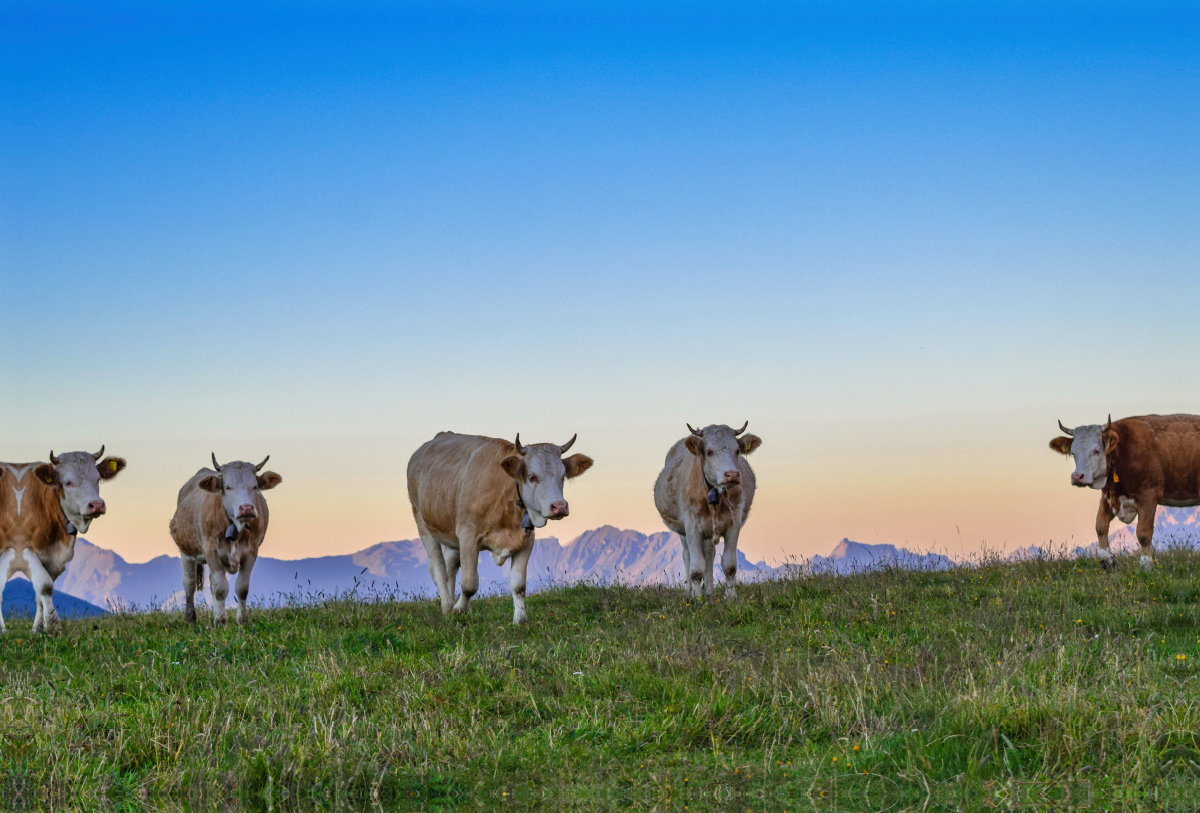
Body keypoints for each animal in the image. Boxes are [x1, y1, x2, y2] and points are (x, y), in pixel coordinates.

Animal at [0, 448, 126, 633]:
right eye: (68, 482)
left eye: (97, 479)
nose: (96, 505)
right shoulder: (21, 549)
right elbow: (45, 586)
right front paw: (53, 626)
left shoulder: (52, 557)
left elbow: (40, 593)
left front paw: (38, 629)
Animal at [169, 455, 283, 628]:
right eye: (228, 487)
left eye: (255, 486)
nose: (246, 508)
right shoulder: (211, 551)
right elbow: (220, 588)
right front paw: (221, 621)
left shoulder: (251, 552)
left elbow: (241, 587)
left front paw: (242, 620)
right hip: (186, 551)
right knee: (189, 583)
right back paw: (190, 618)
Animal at [408, 434, 595, 623]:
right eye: (532, 476)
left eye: (563, 476)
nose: (559, 506)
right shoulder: (468, 535)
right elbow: (469, 583)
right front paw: (459, 609)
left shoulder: (526, 540)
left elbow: (518, 584)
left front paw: (520, 618)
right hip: (422, 523)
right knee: (438, 567)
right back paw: (447, 606)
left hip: (451, 535)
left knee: (450, 565)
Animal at [657, 424, 758, 601]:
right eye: (709, 452)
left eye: (737, 450)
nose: (732, 474)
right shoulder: (691, 525)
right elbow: (697, 567)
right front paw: (697, 599)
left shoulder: (734, 523)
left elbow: (729, 564)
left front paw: (730, 597)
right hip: (683, 531)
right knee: (687, 555)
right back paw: (690, 592)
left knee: (709, 554)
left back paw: (709, 591)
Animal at [1046, 417, 1200, 570]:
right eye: (1073, 453)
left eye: (1096, 450)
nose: (1077, 477)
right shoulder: (1108, 497)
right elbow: (1100, 526)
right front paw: (1107, 560)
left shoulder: (1149, 495)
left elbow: (1143, 532)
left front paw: (1146, 564)